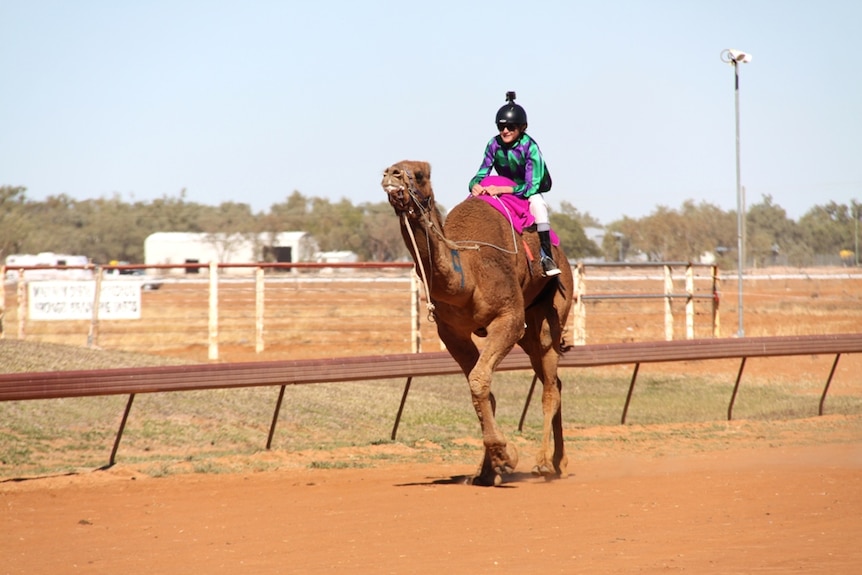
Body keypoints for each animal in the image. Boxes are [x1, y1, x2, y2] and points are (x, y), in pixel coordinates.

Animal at [384, 161, 572, 486]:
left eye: (420, 173)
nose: (391, 174)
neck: (467, 276)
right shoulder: (451, 333)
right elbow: (482, 387)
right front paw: (487, 470)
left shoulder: (509, 318)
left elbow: (479, 380)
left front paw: (506, 456)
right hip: (529, 331)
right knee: (555, 381)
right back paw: (558, 462)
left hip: (553, 310)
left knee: (550, 387)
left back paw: (544, 465)